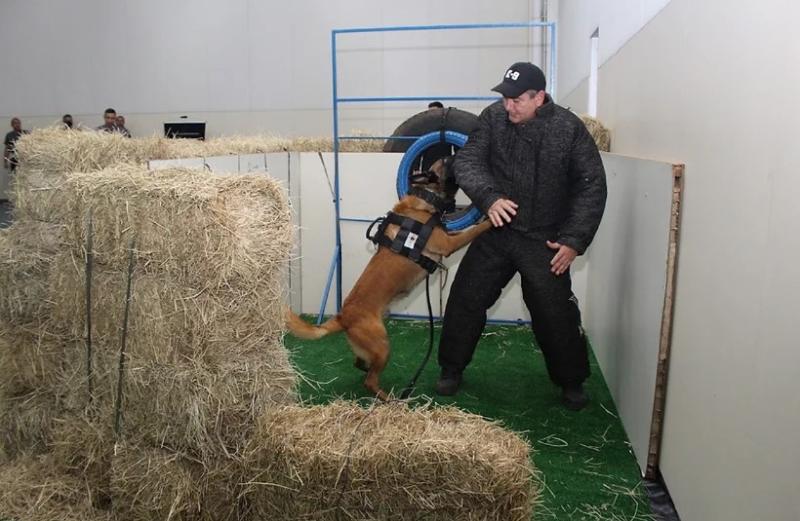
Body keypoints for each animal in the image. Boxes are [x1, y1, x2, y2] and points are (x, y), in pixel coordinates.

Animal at [284, 158, 490, 398]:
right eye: (448, 162)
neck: (424, 199)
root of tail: (342, 318)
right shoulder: (449, 244)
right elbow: (474, 230)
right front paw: (493, 217)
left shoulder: (449, 238)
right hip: (383, 345)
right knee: (370, 381)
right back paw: (390, 398)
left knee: (360, 364)